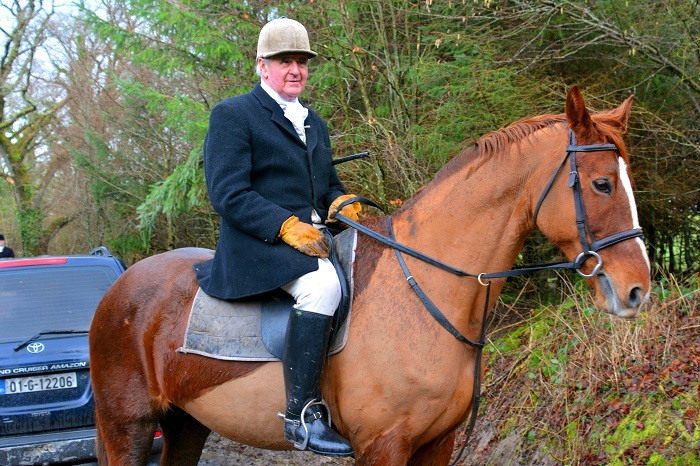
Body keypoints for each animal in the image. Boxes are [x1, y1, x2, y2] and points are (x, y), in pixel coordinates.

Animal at [89, 85, 652, 464]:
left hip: (185, 423)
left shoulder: (436, 442)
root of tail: (118, 288)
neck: (427, 287)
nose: (636, 290)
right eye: (602, 183)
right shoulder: (384, 445)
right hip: (127, 426)